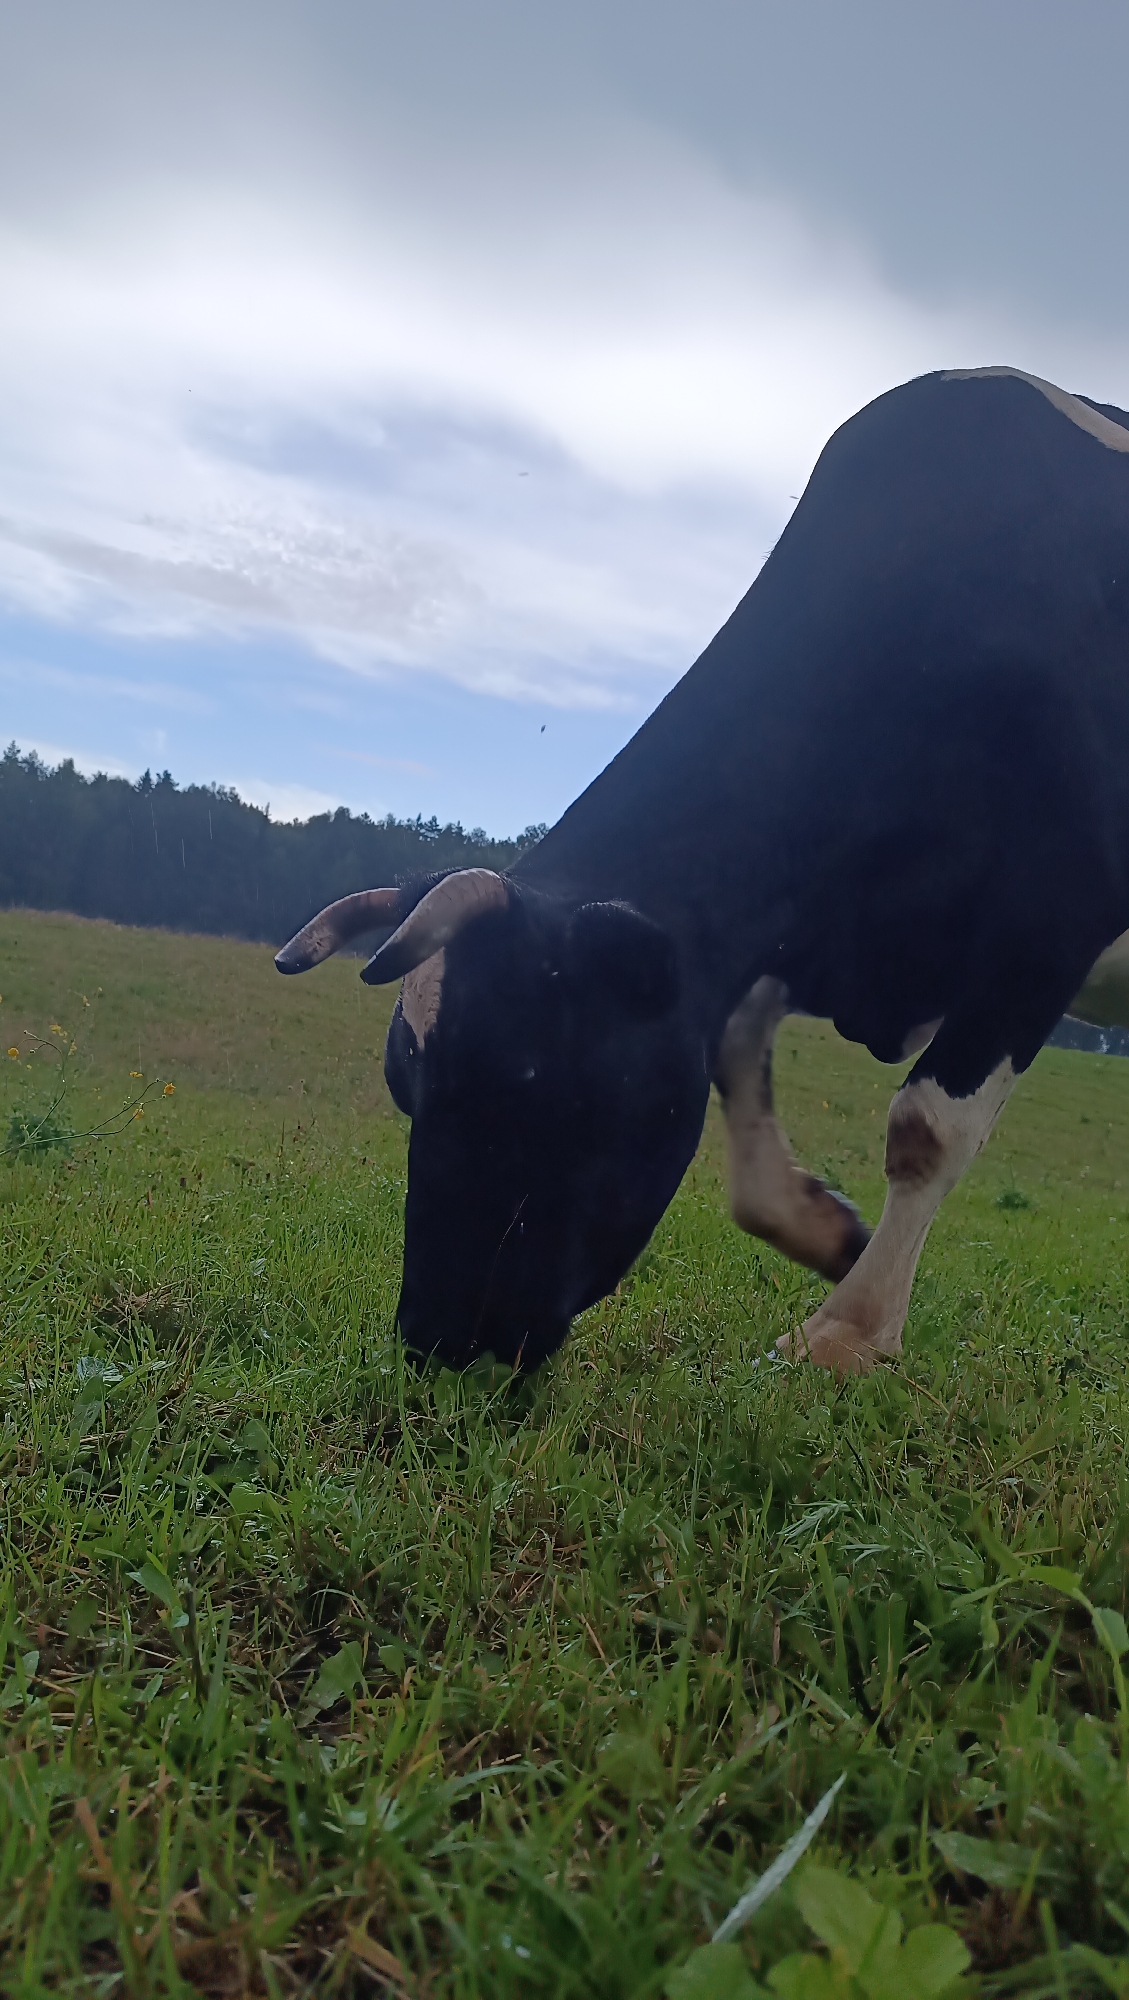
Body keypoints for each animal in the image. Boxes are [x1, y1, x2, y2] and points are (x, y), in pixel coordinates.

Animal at [277, 366, 1129, 1378]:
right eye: (407, 1089)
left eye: (523, 1078)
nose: (437, 1343)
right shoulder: (775, 935)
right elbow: (732, 1074)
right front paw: (821, 1228)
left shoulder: (1048, 926)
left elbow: (925, 1128)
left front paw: (847, 1333)